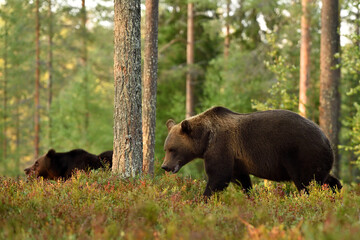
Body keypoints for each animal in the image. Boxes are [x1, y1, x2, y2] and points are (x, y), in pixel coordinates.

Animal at [162, 107, 342, 197]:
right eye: (166, 149)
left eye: (172, 149)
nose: (165, 166)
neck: (206, 138)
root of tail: (326, 140)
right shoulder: (236, 160)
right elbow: (241, 180)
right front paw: (249, 196)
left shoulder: (221, 147)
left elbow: (218, 177)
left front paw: (203, 199)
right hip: (316, 158)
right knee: (324, 178)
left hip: (302, 153)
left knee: (307, 182)